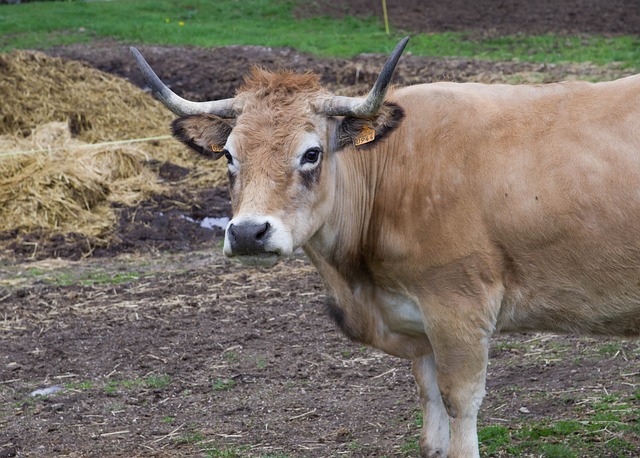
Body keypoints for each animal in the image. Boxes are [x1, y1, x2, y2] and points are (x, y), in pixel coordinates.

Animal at [130, 37, 640, 456]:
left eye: (311, 153)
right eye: (230, 156)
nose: (247, 232)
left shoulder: (459, 308)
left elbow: (460, 406)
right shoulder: (419, 328)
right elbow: (431, 423)